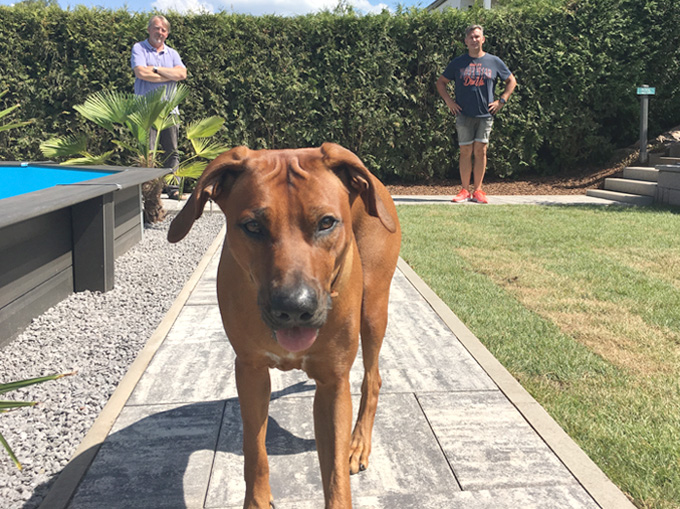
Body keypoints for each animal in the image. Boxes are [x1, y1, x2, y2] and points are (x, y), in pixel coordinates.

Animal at [168, 143, 401, 508]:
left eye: (326, 222)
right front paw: (257, 500)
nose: (294, 308)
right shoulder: (250, 371)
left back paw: (359, 443)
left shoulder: (334, 383)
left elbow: (334, 475)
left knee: (373, 378)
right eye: (252, 226)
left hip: (373, 306)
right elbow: (254, 451)